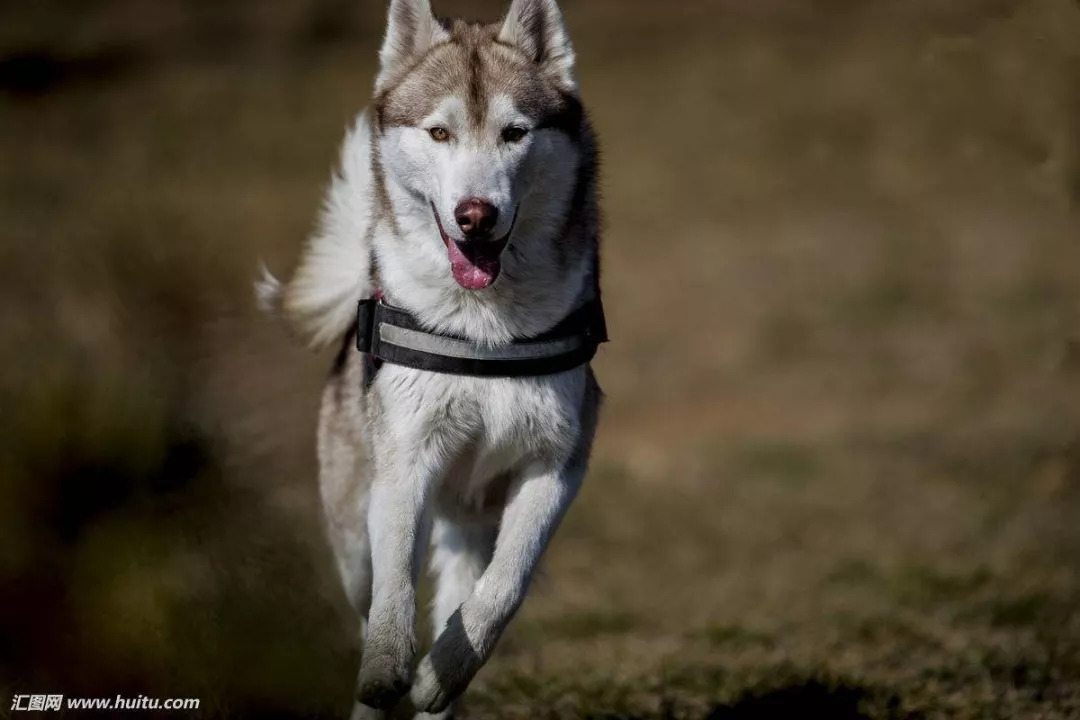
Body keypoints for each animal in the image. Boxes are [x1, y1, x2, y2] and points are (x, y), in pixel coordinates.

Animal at [258, 2, 604, 716]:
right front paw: (389, 669)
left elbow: (502, 589)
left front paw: (437, 675)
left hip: (472, 521)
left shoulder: (558, 461)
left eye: (515, 133)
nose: (476, 215)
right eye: (439, 132)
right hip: (352, 527)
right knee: (366, 600)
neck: (485, 332)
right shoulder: (406, 460)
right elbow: (391, 597)